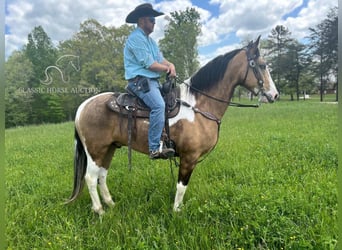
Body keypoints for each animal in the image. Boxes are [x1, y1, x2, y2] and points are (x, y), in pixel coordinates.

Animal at [66, 36, 278, 215]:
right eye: (262, 65)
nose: (275, 95)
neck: (198, 106)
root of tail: (82, 107)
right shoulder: (189, 157)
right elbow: (181, 186)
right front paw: (177, 212)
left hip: (108, 149)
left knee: (102, 176)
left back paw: (111, 204)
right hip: (96, 151)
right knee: (90, 178)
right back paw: (100, 211)